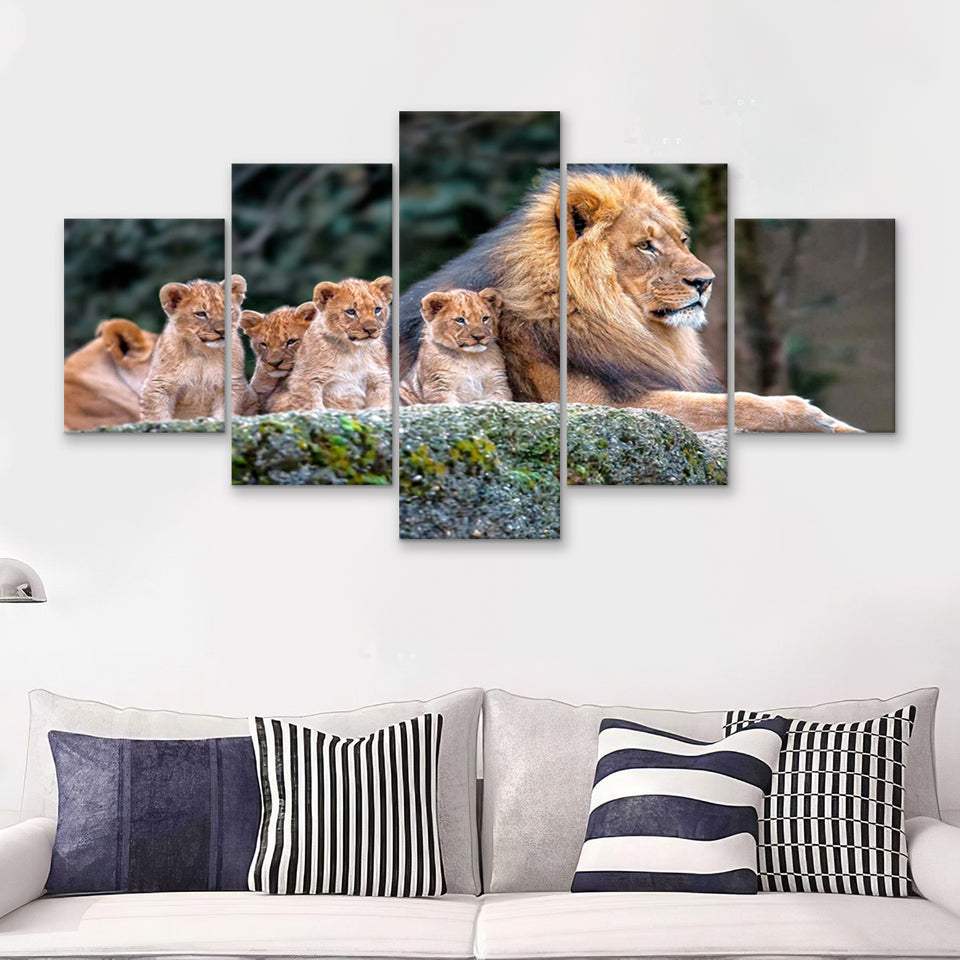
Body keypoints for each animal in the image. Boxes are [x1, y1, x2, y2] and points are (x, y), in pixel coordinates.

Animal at [139, 276, 239, 421]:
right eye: (201, 314)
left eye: (229, 310)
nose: (221, 331)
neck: (203, 351)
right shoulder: (159, 384)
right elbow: (157, 415)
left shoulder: (232, 384)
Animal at [271, 276, 392, 412]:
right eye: (351, 311)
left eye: (377, 309)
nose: (371, 330)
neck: (354, 351)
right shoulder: (305, 379)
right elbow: (312, 406)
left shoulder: (378, 379)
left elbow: (381, 404)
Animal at [396, 165, 860, 432]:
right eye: (646, 246)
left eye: (682, 240)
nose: (706, 282)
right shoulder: (596, 404)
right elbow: (730, 405)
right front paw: (811, 415)